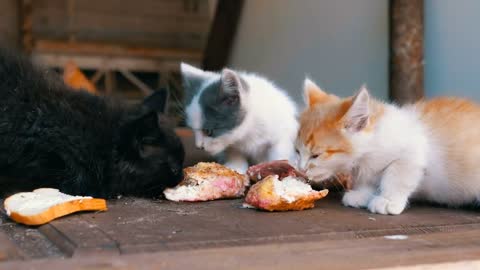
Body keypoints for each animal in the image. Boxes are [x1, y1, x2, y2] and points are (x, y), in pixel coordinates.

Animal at [294, 78, 480, 215]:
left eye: (316, 155)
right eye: (297, 151)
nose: (301, 169)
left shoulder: (412, 152)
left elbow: (396, 177)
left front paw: (388, 200)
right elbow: (369, 179)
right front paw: (362, 194)